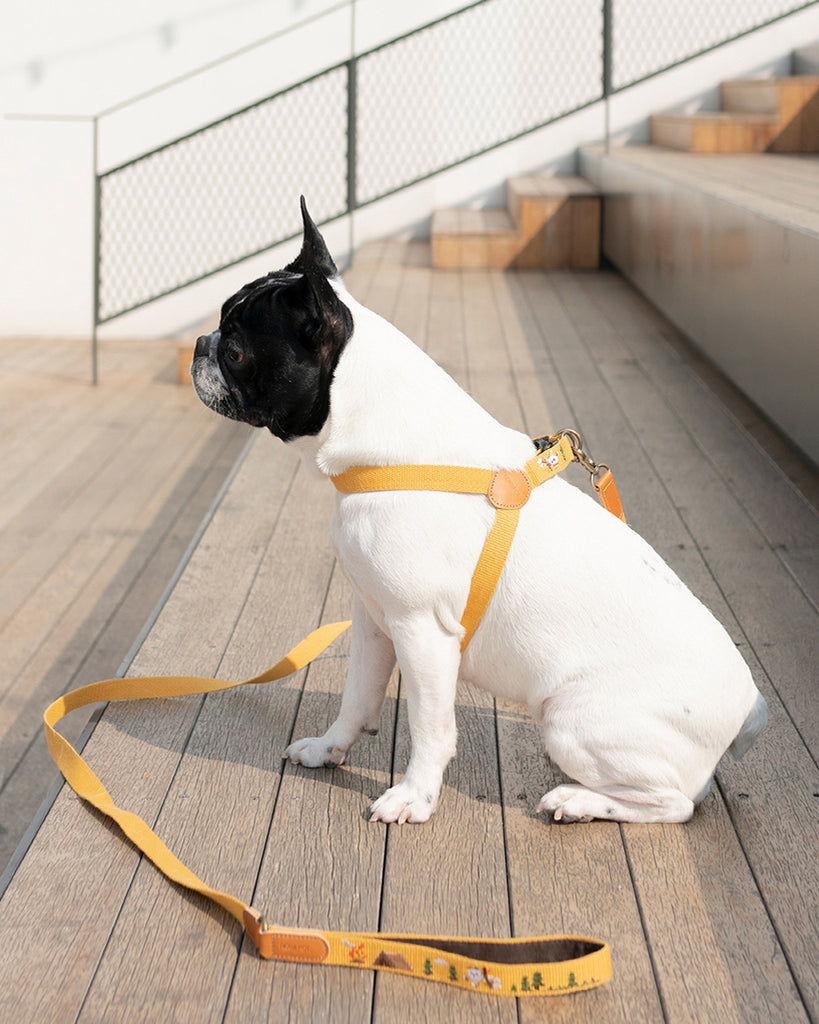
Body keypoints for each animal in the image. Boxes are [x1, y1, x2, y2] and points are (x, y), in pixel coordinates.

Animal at [192, 197, 769, 823]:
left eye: (235, 349)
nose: (200, 344)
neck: (387, 444)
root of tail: (749, 710)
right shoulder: (374, 617)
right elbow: (357, 697)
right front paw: (329, 749)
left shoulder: (421, 631)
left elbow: (430, 728)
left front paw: (414, 797)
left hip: (569, 719)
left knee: (675, 803)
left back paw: (577, 800)